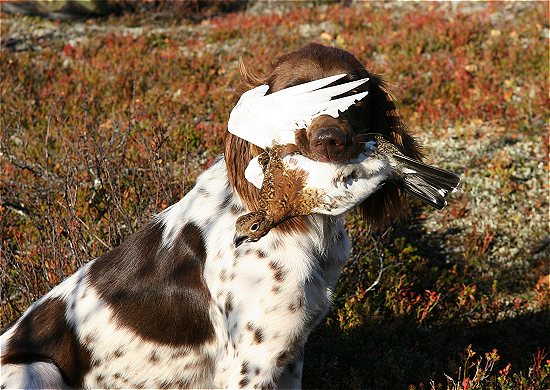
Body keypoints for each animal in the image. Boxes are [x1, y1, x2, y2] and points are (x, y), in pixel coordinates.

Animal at [1, 41, 422, 388]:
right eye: (294, 96)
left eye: (355, 98)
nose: (329, 141)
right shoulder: (250, 363)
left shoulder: (289, 355)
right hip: (38, 368)